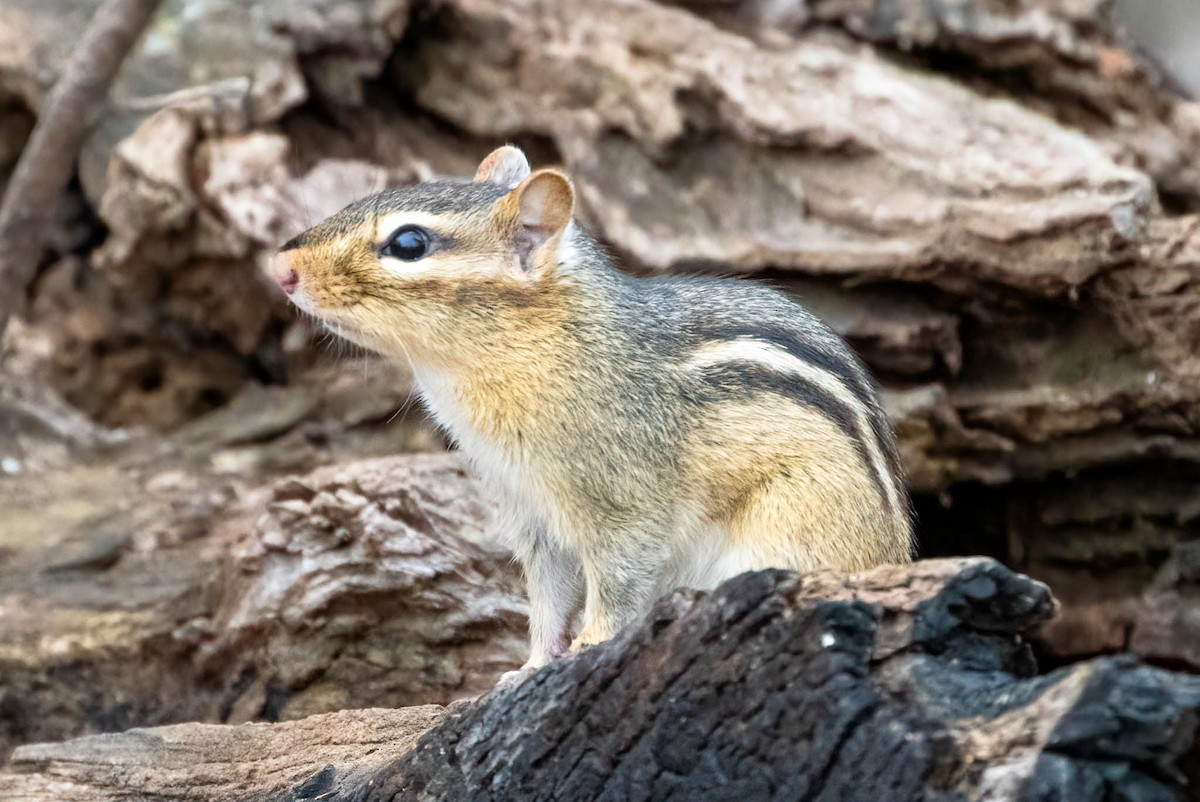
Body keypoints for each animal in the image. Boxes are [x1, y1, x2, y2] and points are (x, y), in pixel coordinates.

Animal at [271, 146, 913, 673]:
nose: (280, 270)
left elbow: (617, 580)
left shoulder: (621, 499)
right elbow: (547, 595)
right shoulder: (529, 511)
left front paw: (590, 645)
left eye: (408, 244)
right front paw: (530, 667)